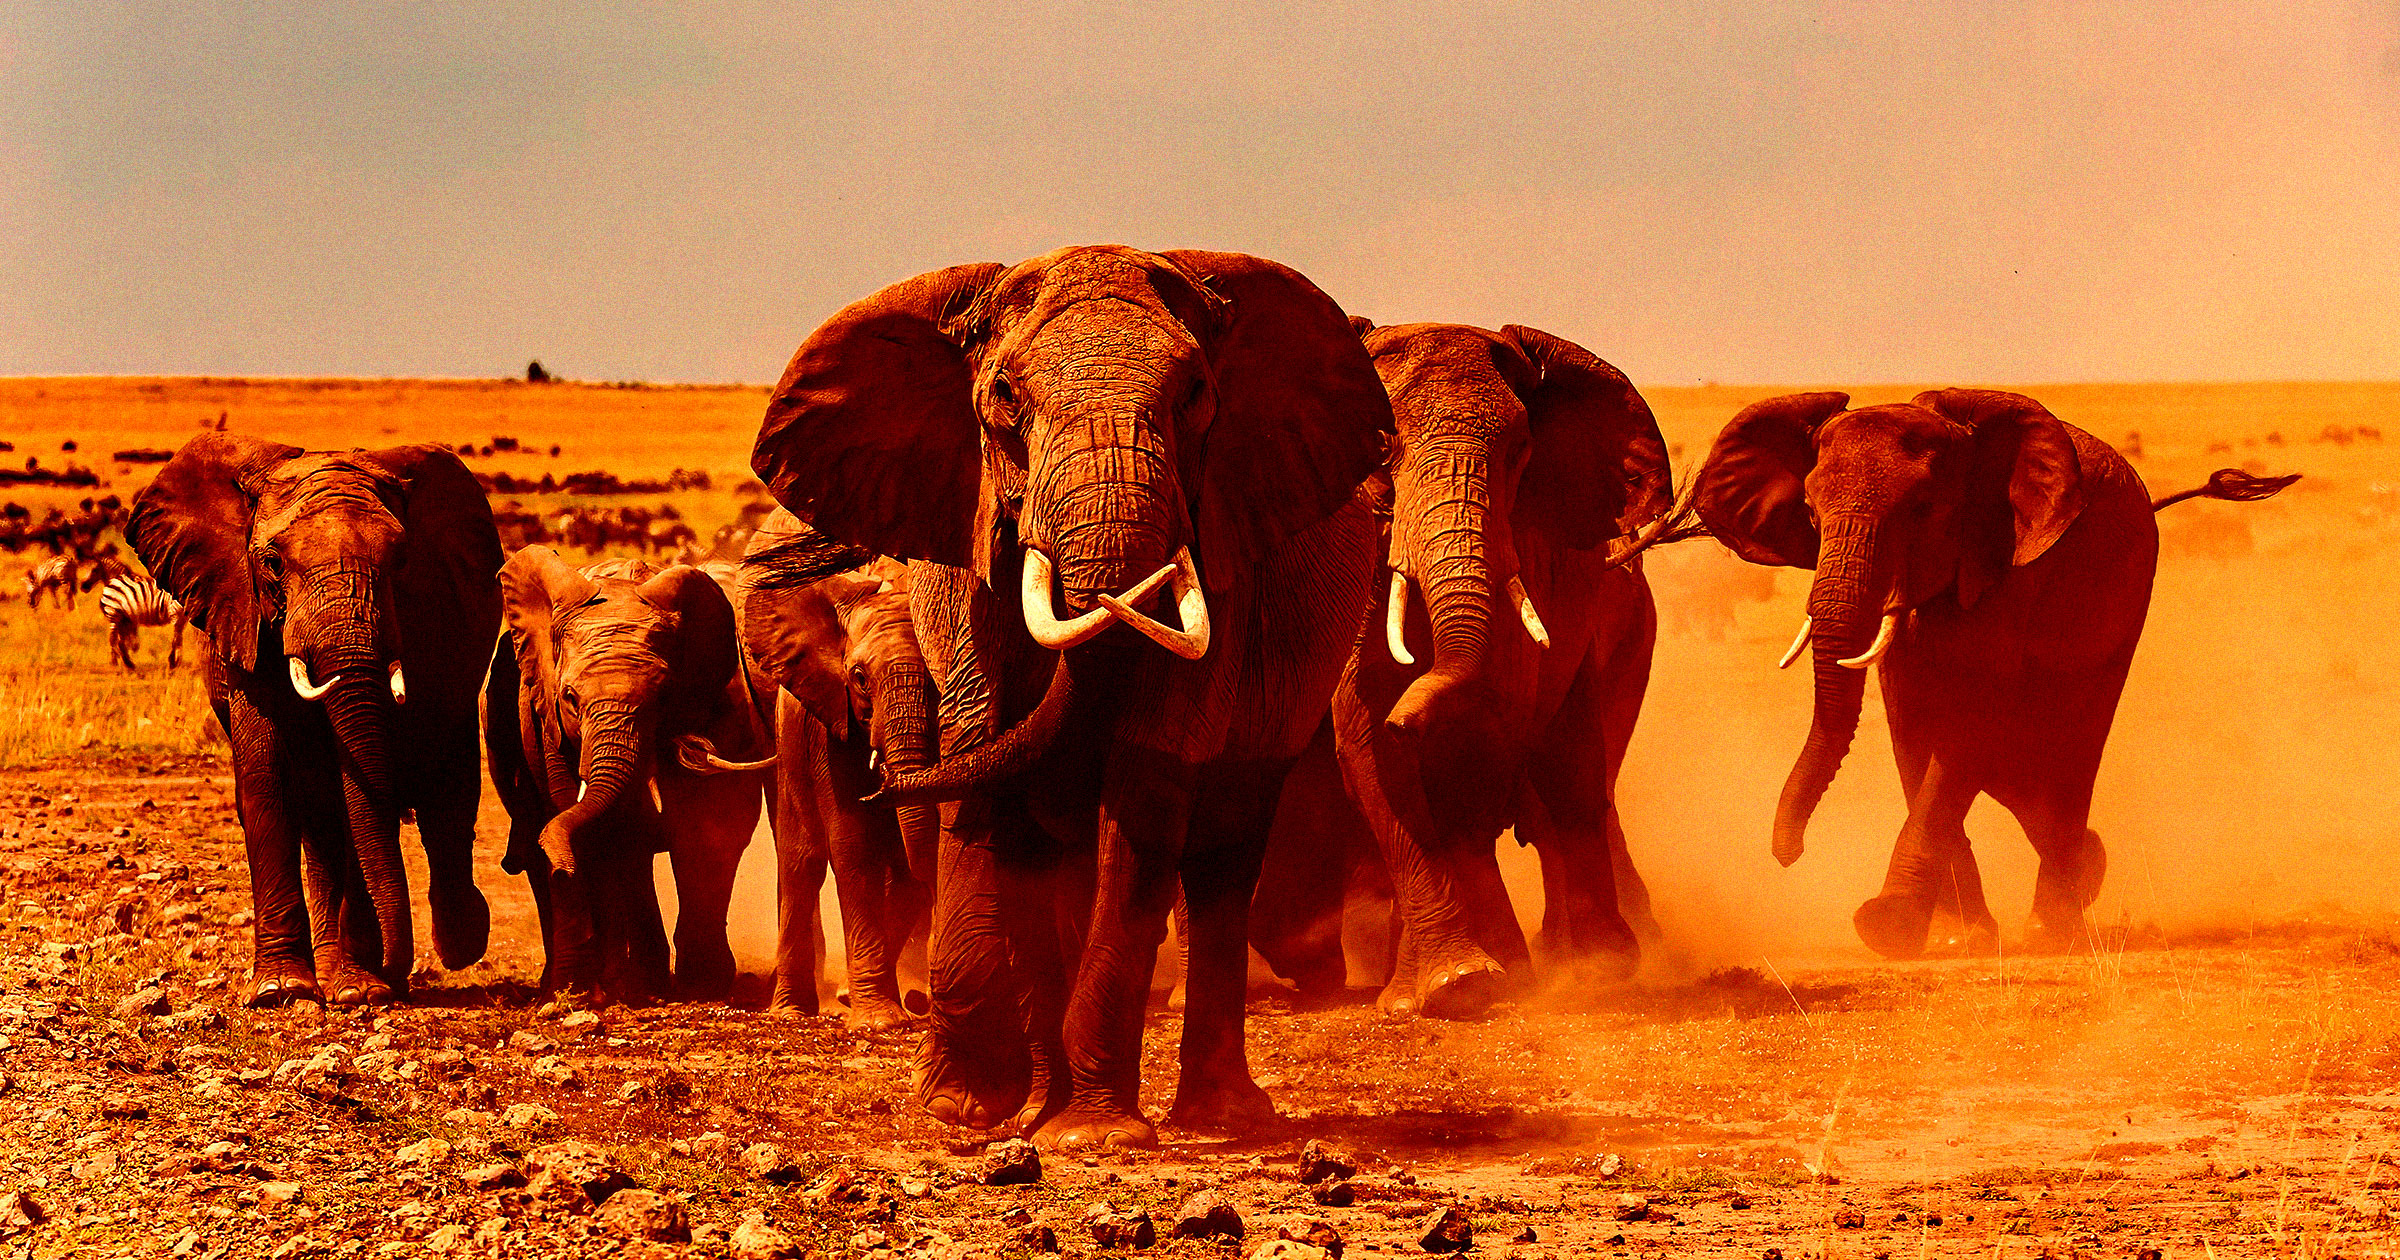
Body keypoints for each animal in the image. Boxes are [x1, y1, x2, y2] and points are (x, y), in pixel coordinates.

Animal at [128, 433, 501, 1006]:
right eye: (272, 563)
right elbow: (268, 778)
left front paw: (361, 990)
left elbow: (362, 793)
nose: (395, 969)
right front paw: (281, 989)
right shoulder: (243, 613)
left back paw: (450, 943)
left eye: (402, 560)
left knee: (445, 796)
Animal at [482, 547, 772, 1003]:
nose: (563, 870)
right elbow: (599, 830)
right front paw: (587, 989)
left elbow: (709, 828)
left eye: (662, 696)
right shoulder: (545, 719)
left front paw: (701, 986)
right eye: (569, 697)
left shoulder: (720, 704)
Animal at [737, 508, 938, 1027]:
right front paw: (880, 1019)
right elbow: (853, 841)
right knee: (802, 859)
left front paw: (874, 1003)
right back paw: (791, 1012)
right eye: (860, 678)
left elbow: (904, 859)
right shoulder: (827, 720)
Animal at [1250, 321, 1677, 1017]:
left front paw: (1476, 981)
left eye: (1520, 450)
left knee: (1575, 777)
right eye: (1382, 446)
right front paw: (1443, 988)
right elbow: (1366, 750)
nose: (1407, 719)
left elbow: (1485, 741)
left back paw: (1599, 965)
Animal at [1691, 389, 2296, 958]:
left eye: (1922, 509)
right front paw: (1955, 939)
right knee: (2022, 774)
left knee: (2073, 739)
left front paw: (1887, 928)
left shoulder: (2007, 567)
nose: (1789, 854)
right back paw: (2085, 869)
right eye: (1811, 514)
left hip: (2127, 600)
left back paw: (2054, 929)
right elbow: (1912, 730)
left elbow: (1965, 727)